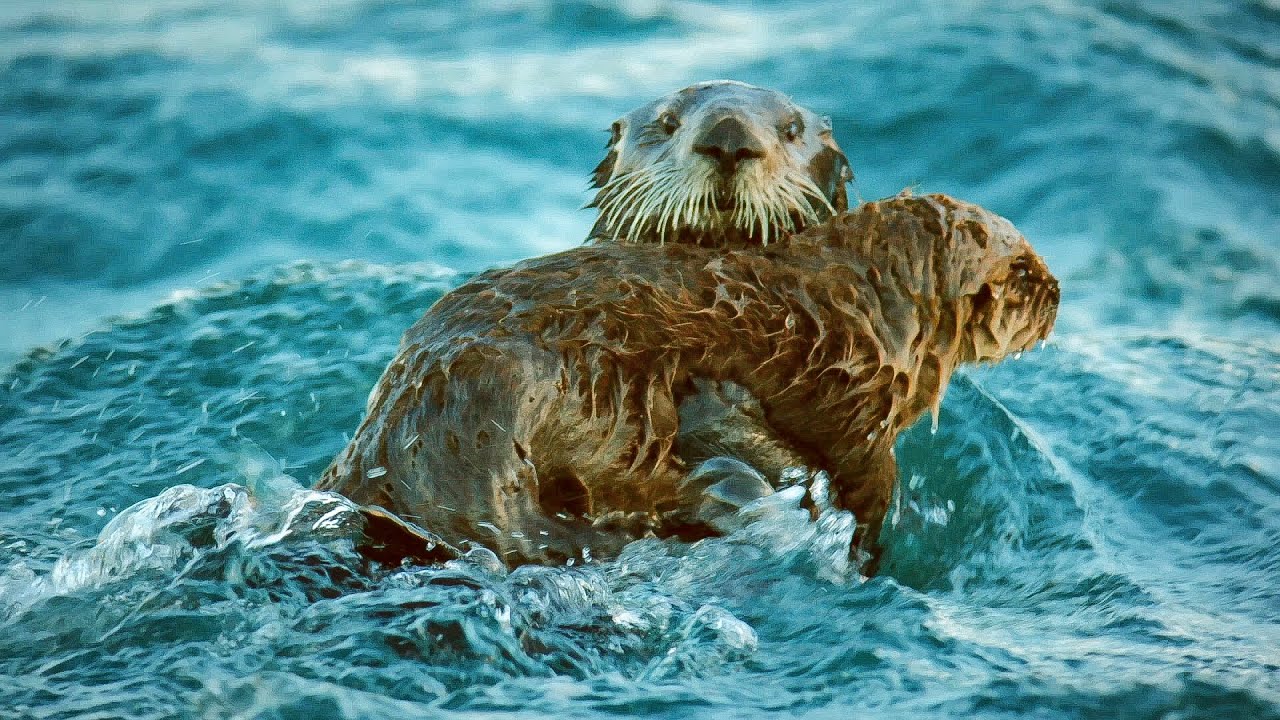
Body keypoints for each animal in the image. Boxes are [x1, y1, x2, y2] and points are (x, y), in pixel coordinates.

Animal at [318, 194, 1059, 567]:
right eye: (1023, 269)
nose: (1056, 292)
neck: (862, 312)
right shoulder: (858, 412)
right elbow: (867, 487)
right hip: (551, 392)